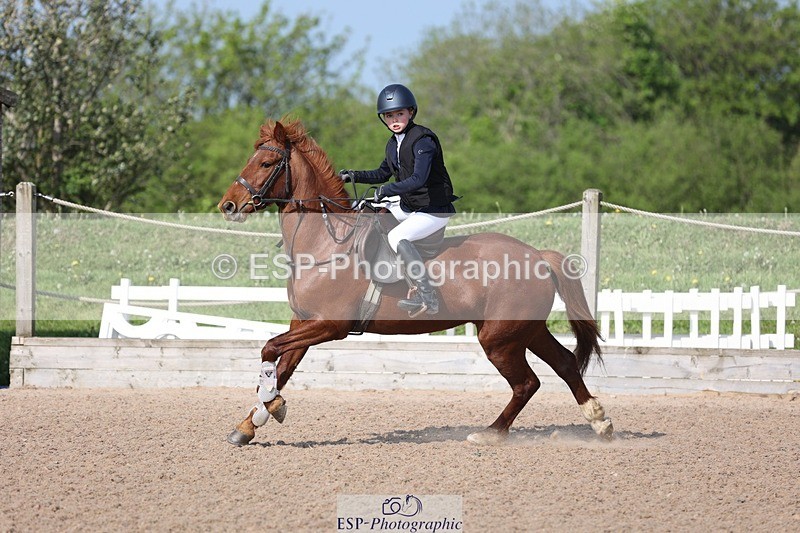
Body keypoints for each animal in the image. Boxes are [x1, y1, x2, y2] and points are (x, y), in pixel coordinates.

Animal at [218, 118, 613, 446]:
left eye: (265, 164)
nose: (228, 206)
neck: (325, 244)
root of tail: (538, 256)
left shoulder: (329, 325)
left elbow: (269, 350)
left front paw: (273, 406)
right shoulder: (304, 322)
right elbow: (281, 367)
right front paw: (250, 423)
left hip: (499, 339)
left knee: (527, 383)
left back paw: (490, 433)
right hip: (524, 330)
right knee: (564, 363)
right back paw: (598, 420)